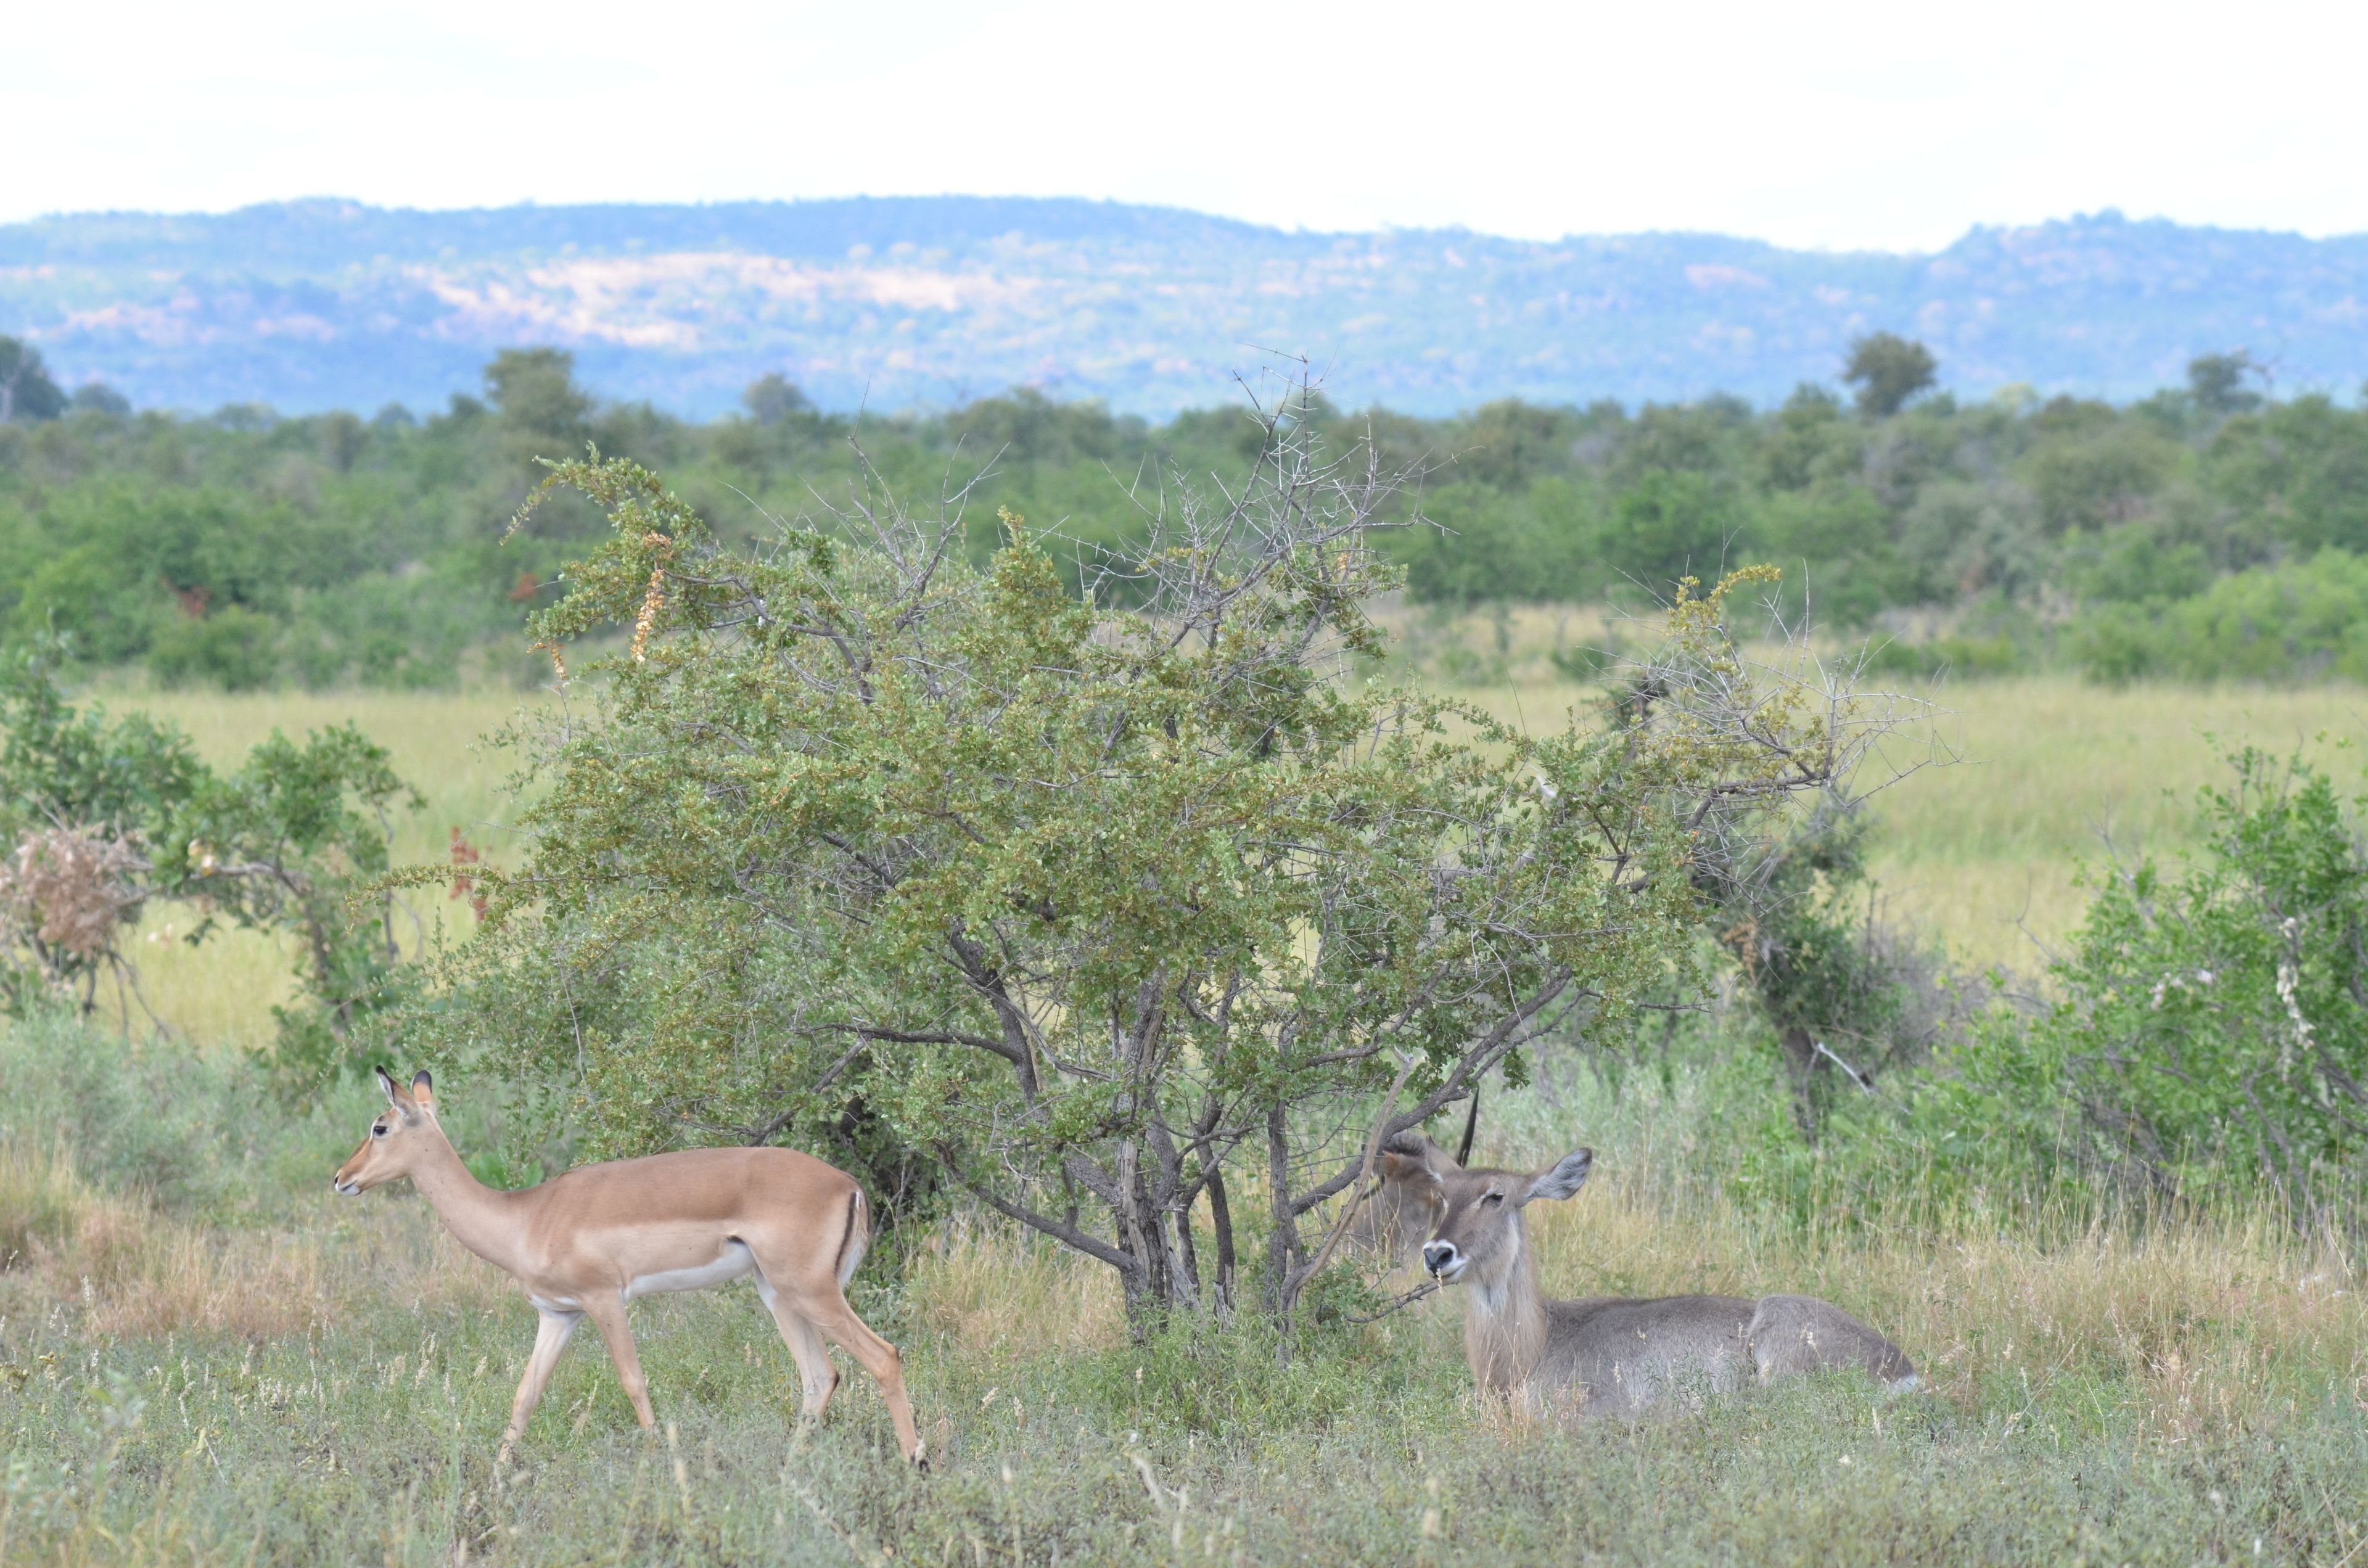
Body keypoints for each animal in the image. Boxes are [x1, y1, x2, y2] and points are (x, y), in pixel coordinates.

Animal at [333, 1068, 924, 1466]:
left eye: (380, 1126)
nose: (341, 1177)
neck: (527, 1217)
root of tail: (848, 1185)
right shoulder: (558, 1314)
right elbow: (525, 1395)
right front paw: (496, 1482)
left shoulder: (604, 1299)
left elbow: (633, 1380)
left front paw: (657, 1461)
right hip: (778, 1293)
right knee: (821, 1376)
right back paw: (789, 1470)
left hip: (810, 1292)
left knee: (884, 1356)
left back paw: (915, 1460)